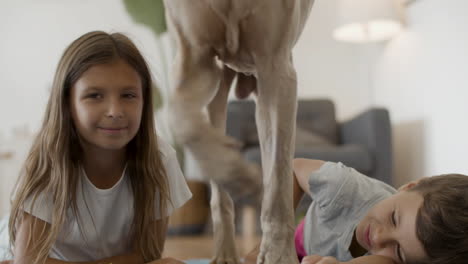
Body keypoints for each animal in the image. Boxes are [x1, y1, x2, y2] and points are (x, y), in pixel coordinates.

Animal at [165, 1, 314, 262]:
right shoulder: (194, 56)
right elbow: (181, 119)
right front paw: (237, 173)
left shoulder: (276, 67)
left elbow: (278, 179)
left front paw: (279, 254)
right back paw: (225, 252)